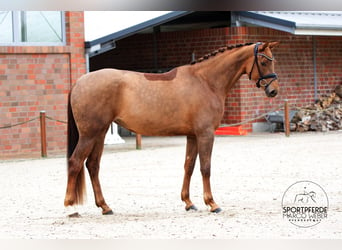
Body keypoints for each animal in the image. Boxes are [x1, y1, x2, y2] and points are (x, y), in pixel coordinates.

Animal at [64, 41, 280, 215]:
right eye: (264, 62)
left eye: (272, 60)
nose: (273, 90)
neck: (205, 81)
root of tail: (78, 82)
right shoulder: (206, 134)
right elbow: (205, 167)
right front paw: (212, 203)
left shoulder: (192, 136)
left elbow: (189, 166)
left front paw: (188, 202)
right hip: (89, 134)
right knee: (75, 162)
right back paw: (69, 206)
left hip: (99, 134)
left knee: (92, 165)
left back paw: (105, 207)